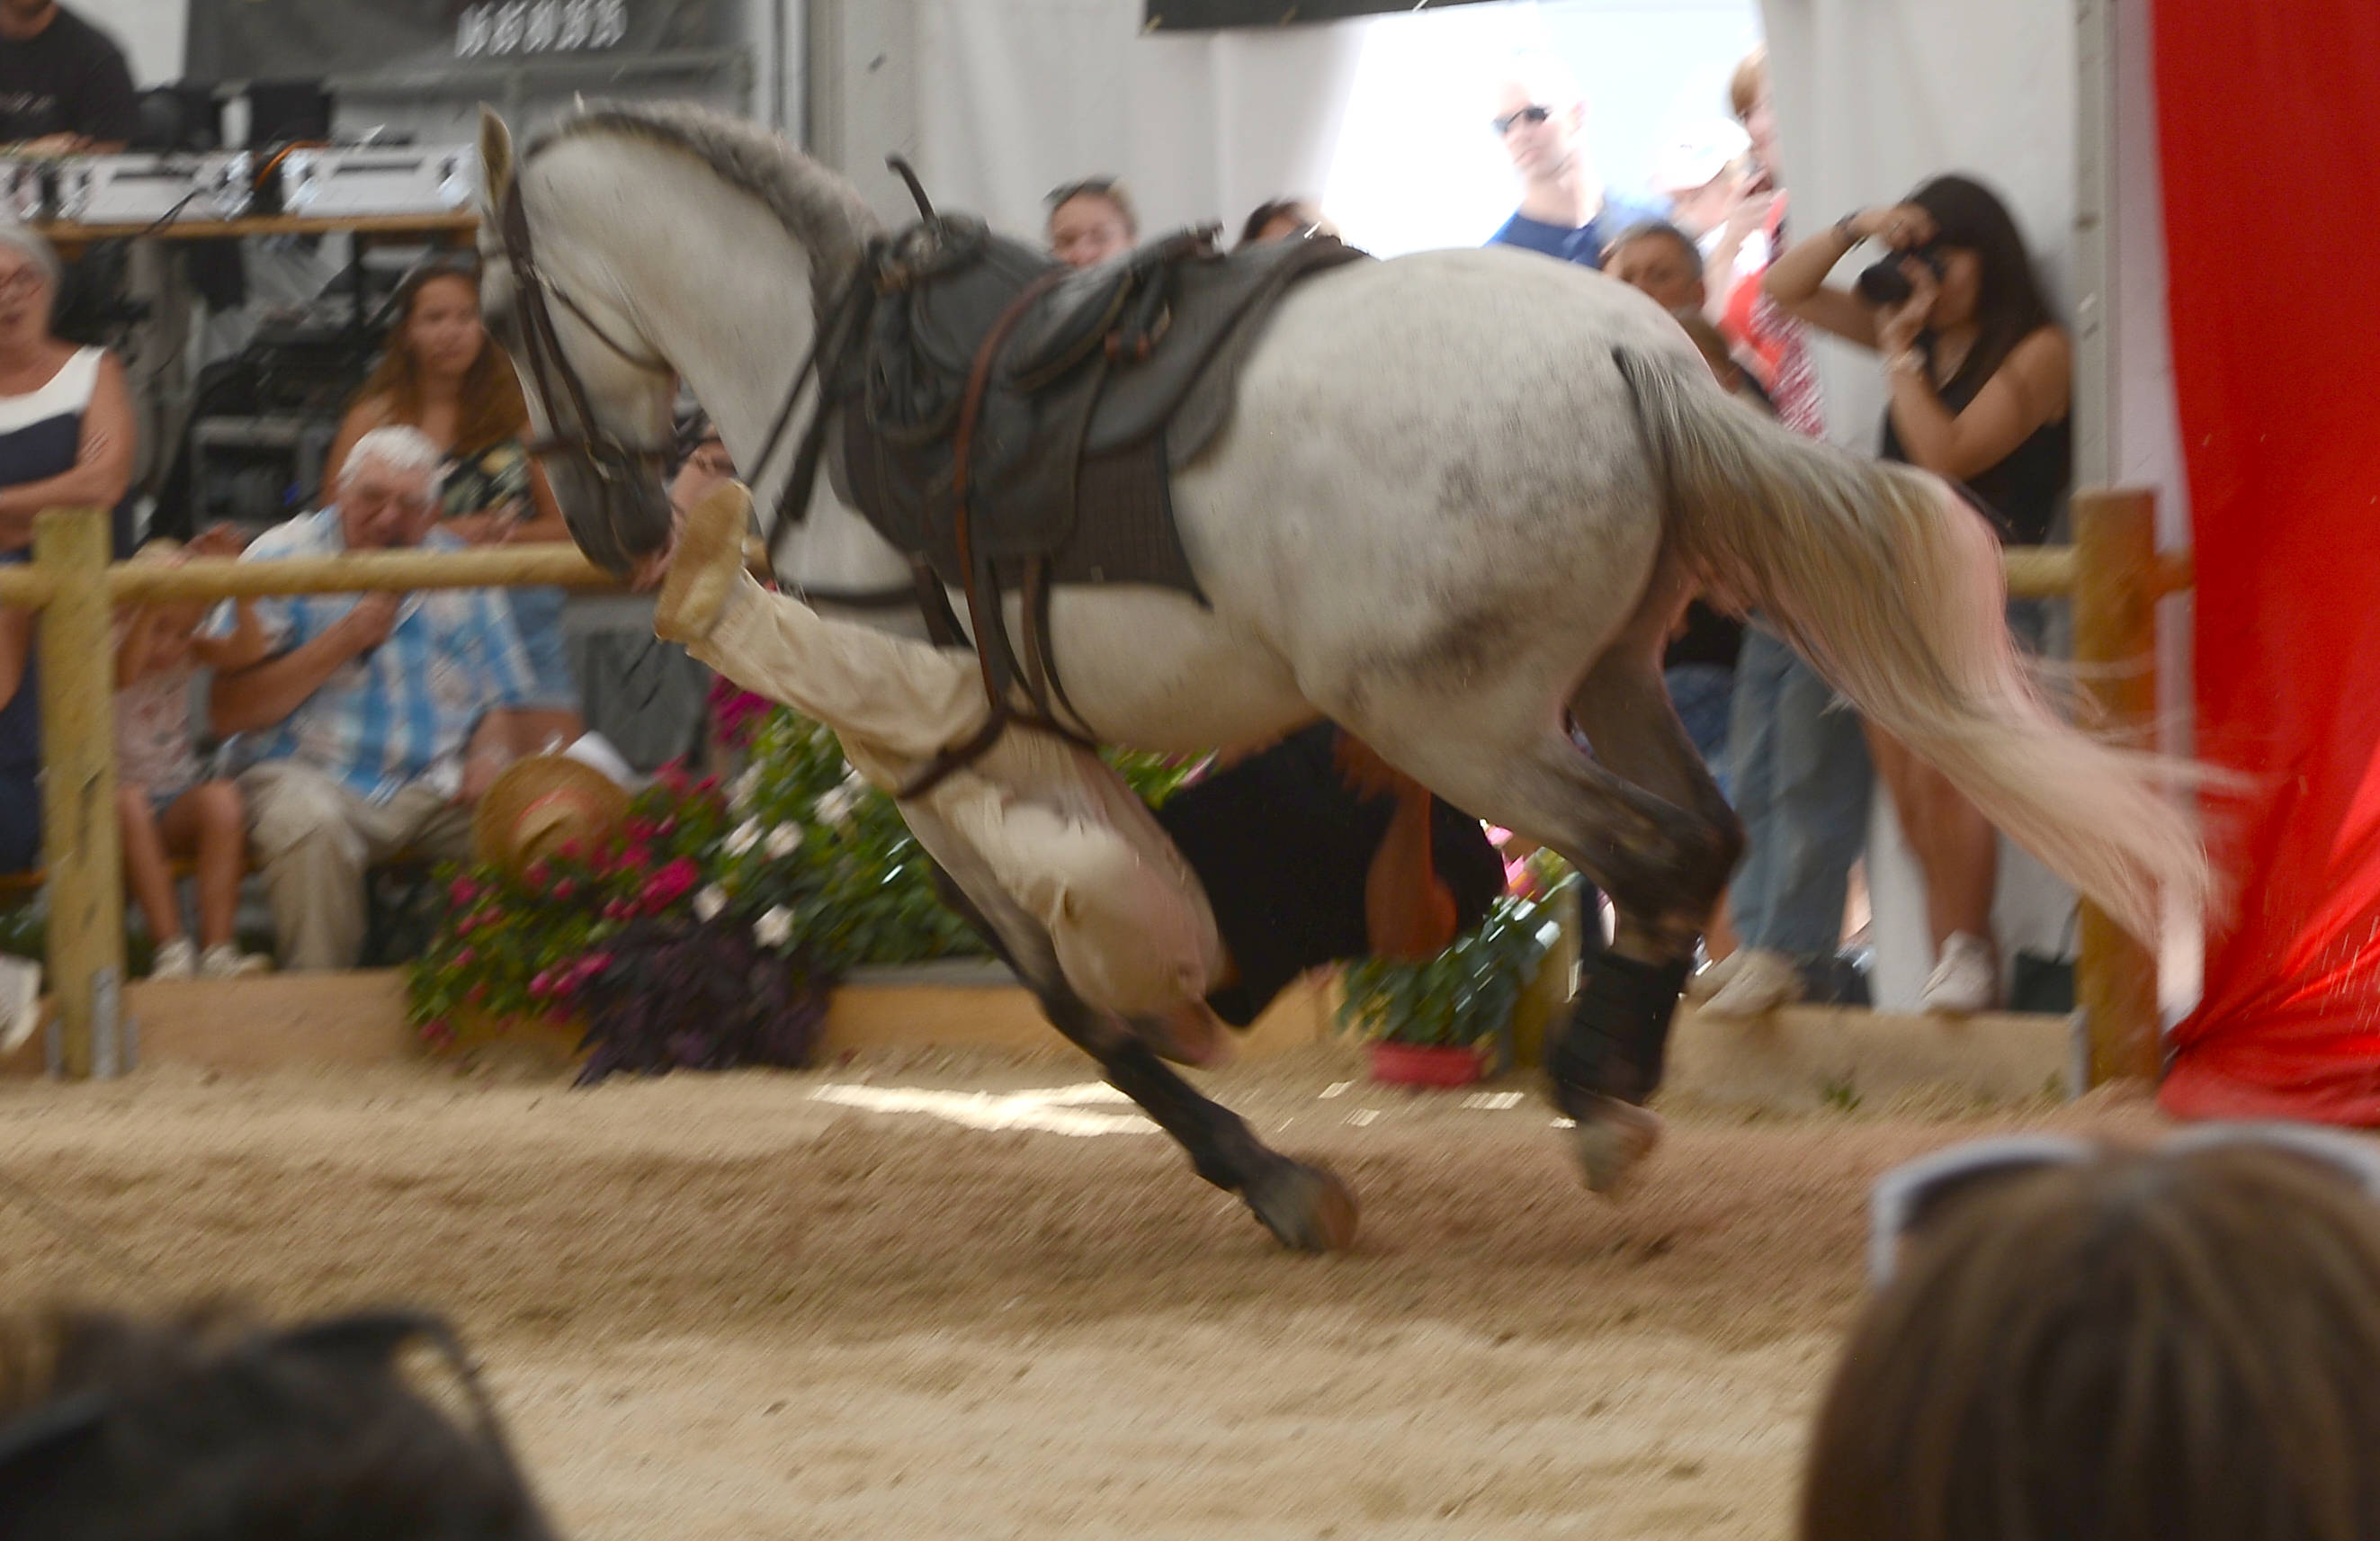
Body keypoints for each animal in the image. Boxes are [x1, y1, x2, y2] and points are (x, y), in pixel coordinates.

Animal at [473, 102, 2198, 1248]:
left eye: (494, 312)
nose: (603, 521)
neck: (832, 386)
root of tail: (1632, 350)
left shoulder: (936, 746)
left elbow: (1064, 990)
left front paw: (1266, 1165)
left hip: (1456, 719)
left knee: (1652, 850)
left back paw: (1598, 1097)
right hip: (1608, 674)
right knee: (1697, 840)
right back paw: (1614, 1082)